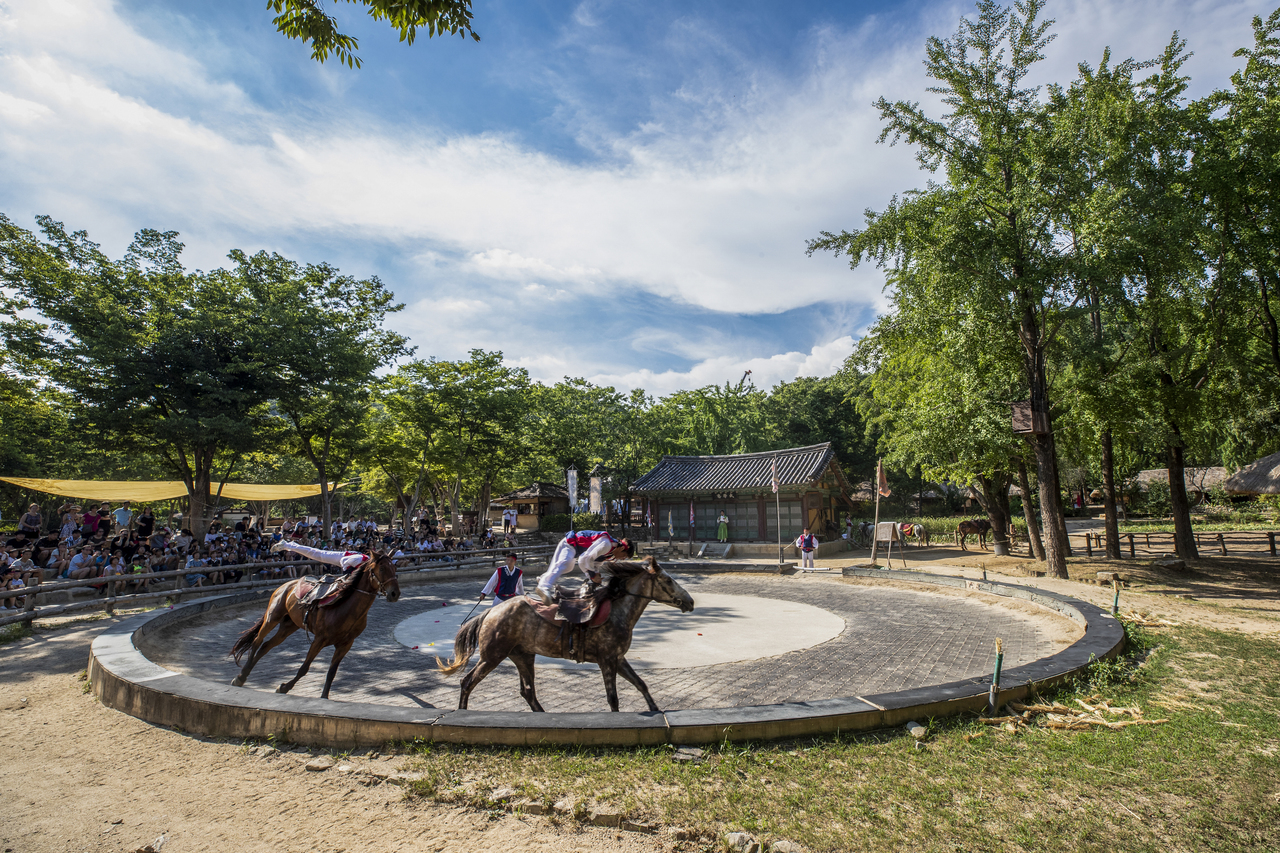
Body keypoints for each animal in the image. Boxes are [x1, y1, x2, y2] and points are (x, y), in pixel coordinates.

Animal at [227, 550, 399, 696]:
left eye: (394, 567)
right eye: (382, 568)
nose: (395, 593)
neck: (346, 606)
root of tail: (287, 585)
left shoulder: (345, 644)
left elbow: (331, 673)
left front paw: (324, 697)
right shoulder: (319, 640)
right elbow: (304, 668)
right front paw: (284, 687)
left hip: (288, 626)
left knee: (266, 646)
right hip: (273, 617)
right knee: (257, 641)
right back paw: (240, 677)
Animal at [435, 550, 691, 712]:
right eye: (668, 580)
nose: (690, 601)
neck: (617, 608)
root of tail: (490, 612)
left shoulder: (618, 659)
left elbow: (641, 684)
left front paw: (655, 710)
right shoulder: (607, 660)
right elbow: (613, 699)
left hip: (523, 656)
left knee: (528, 692)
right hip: (492, 656)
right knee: (467, 682)